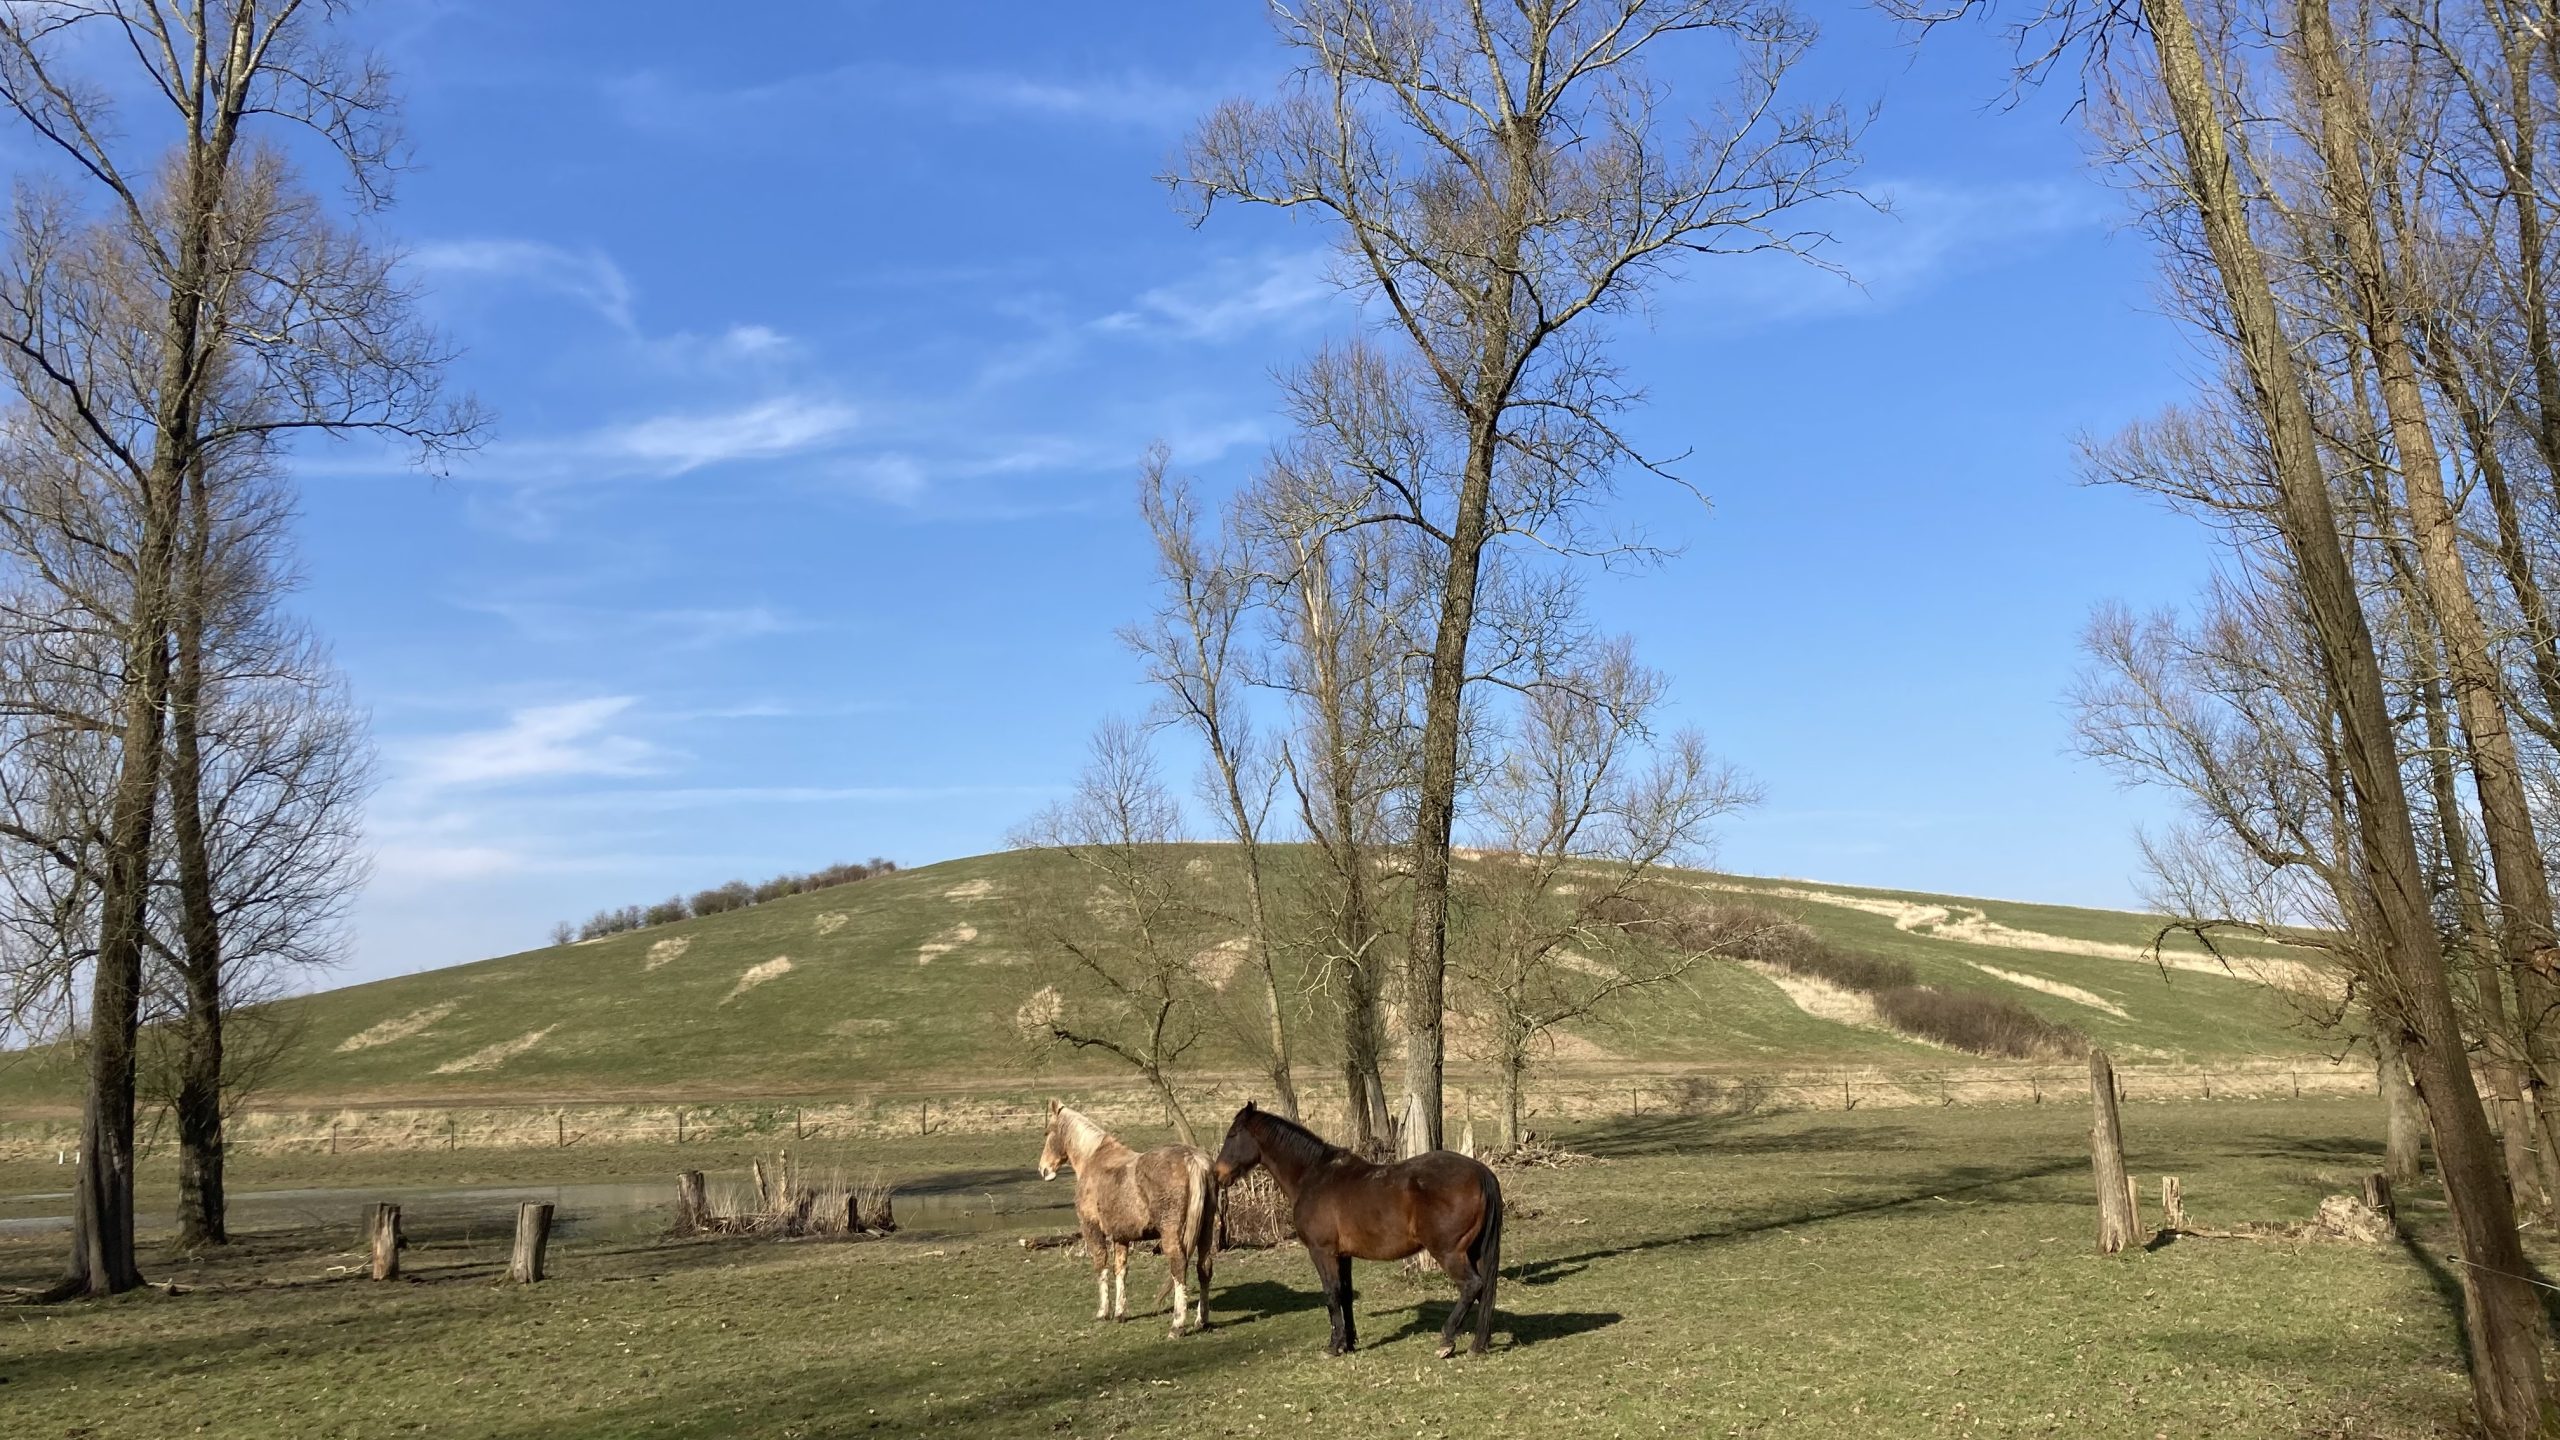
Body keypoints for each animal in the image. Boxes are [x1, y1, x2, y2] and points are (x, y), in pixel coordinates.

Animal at [1036, 1100, 1218, 1335]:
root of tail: (1192, 1160)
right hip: (1206, 1230)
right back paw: (1200, 1320)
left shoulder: (1092, 1228)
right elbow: (1120, 1270)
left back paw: (1177, 1326)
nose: (1043, 1169)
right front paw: (1120, 1313)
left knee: (1179, 1267)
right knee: (1204, 1267)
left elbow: (1101, 1266)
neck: (1094, 1158)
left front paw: (1103, 1312)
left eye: (1048, 1132)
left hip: (1172, 1233)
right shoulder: (1121, 1236)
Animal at [1211, 1101, 1503, 1358]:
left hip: (1449, 1252)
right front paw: (1348, 1343)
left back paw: (1447, 1340)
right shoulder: (1343, 1255)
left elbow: (1332, 1294)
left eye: (1232, 1134)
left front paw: (1333, 1346)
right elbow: (1346, 1294)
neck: (1313, 1176)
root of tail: (1481, 1172)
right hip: (1474, 1251)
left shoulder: (1322, 1252)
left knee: (1472, 1286)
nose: (1217, 1174)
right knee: (1485, 1290)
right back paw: (1478, 1345)